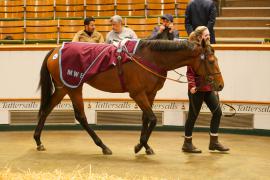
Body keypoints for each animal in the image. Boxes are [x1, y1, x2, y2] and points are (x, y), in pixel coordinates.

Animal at [33, 39, 224, 155]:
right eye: (211, 61)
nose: (220, 85)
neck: (151, 58)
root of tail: (56, 49)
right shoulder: (138, 94)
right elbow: (153, 119)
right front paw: (140, 145)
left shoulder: (150, 93)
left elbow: (146, 119)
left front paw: (145, 146)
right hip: (73, 87)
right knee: (81, 116)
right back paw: (103, 146)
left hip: (63, 88)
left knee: (46, 110)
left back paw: (38, 140)